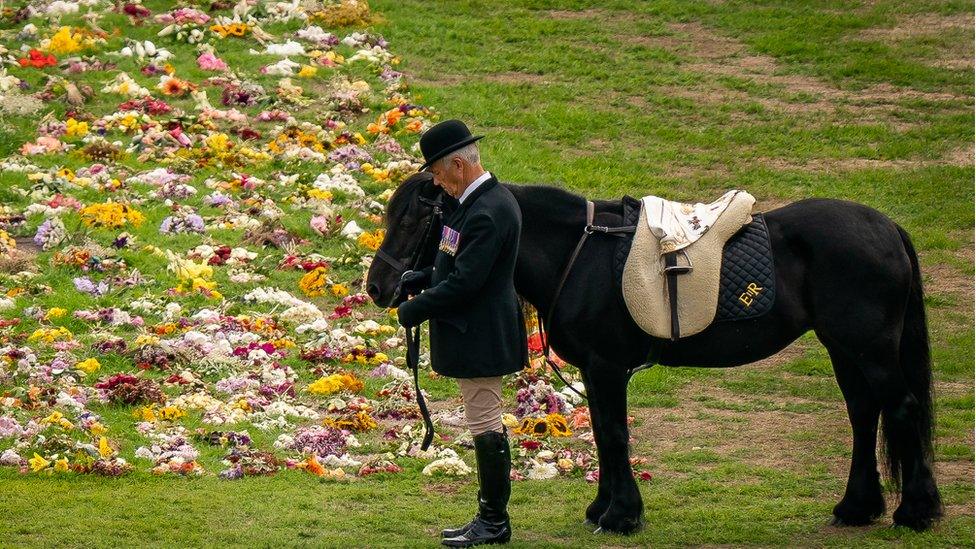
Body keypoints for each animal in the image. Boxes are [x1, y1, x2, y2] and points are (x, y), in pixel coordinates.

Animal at [364, 171, 936, 532]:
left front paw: (621, 516)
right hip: (845, 348)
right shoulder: (596, 371)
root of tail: (886, 227)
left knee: (901, 409)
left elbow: (615, 435)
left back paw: (916, 511)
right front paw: (603, 509)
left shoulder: (606, 366)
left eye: (413, 219)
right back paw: (857, 507)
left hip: (869, 349)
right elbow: (603, 434)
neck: (580, 253)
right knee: (864, 414)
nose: (378, 288)